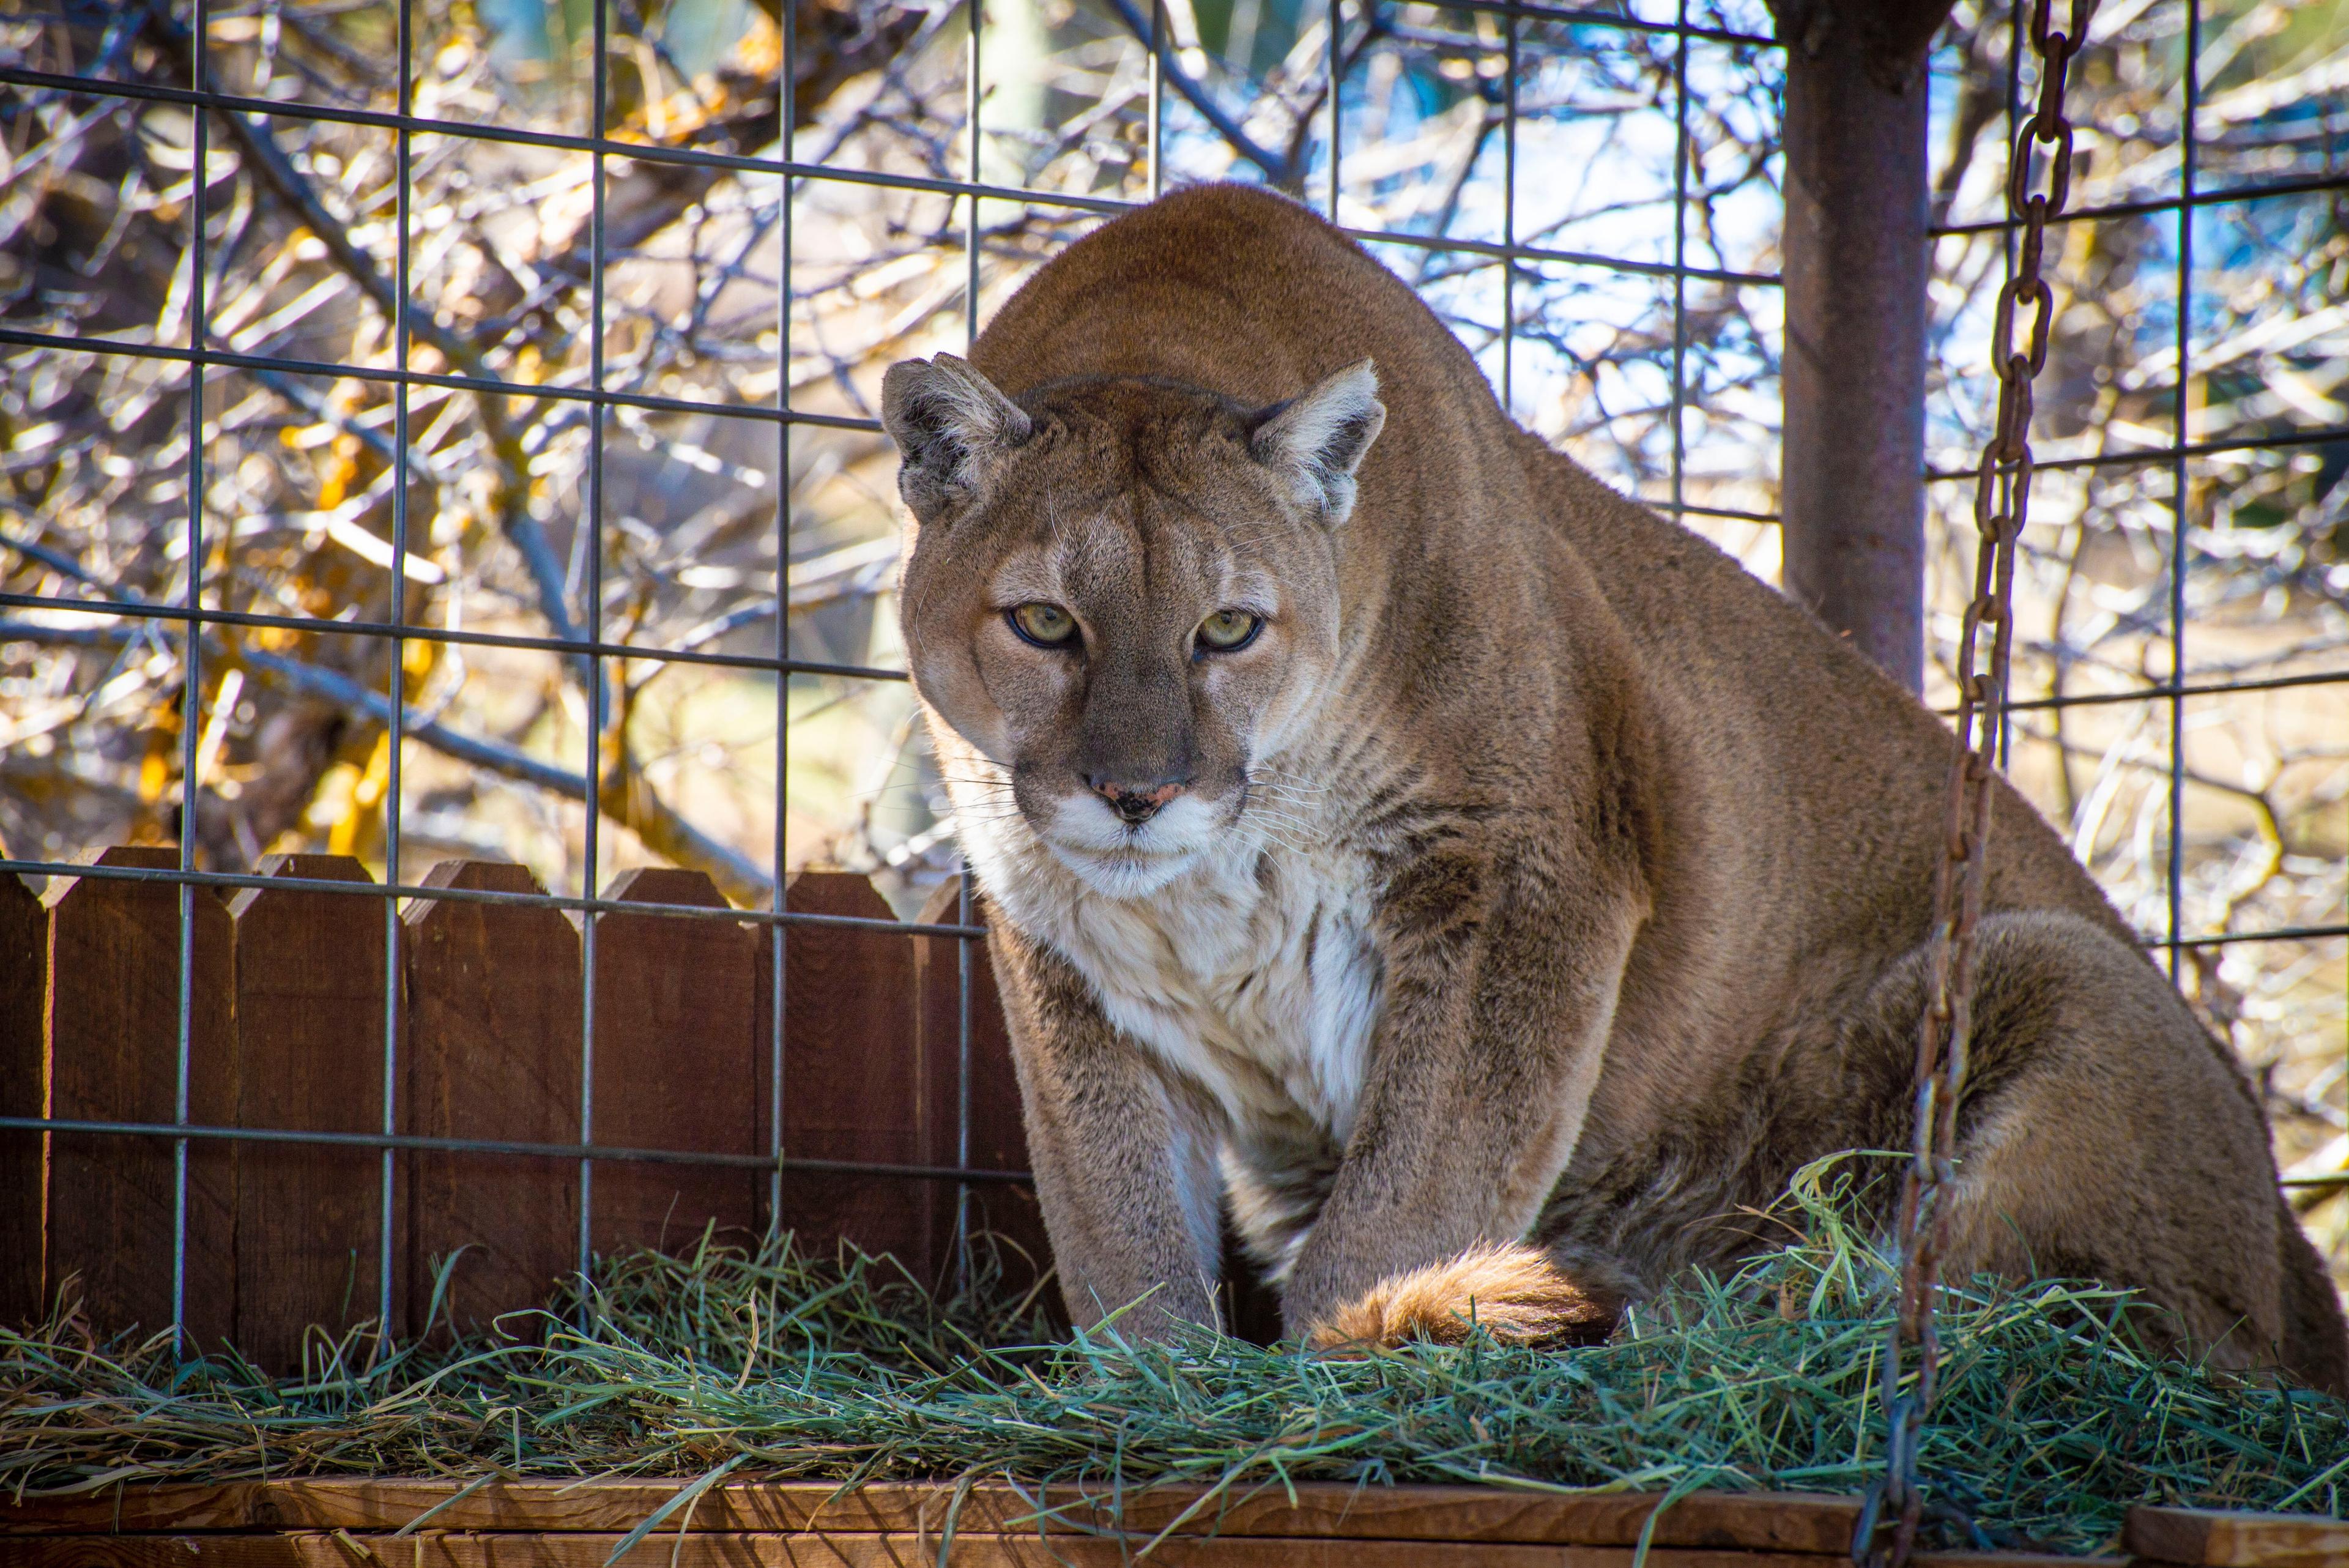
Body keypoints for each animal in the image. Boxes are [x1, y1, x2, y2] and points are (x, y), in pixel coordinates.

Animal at [883, 177, 2349, 1391]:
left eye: (1229, 629)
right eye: (1046, 624)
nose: (1138, 794)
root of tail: (2307, 1287)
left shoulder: (1525, 873)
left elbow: (1412, 1191)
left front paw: (1343, 1355)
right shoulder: (1062, 952)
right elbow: (1114, 1208)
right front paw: (1163, 1389)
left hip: (2054, 973)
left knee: (2022, 1319)